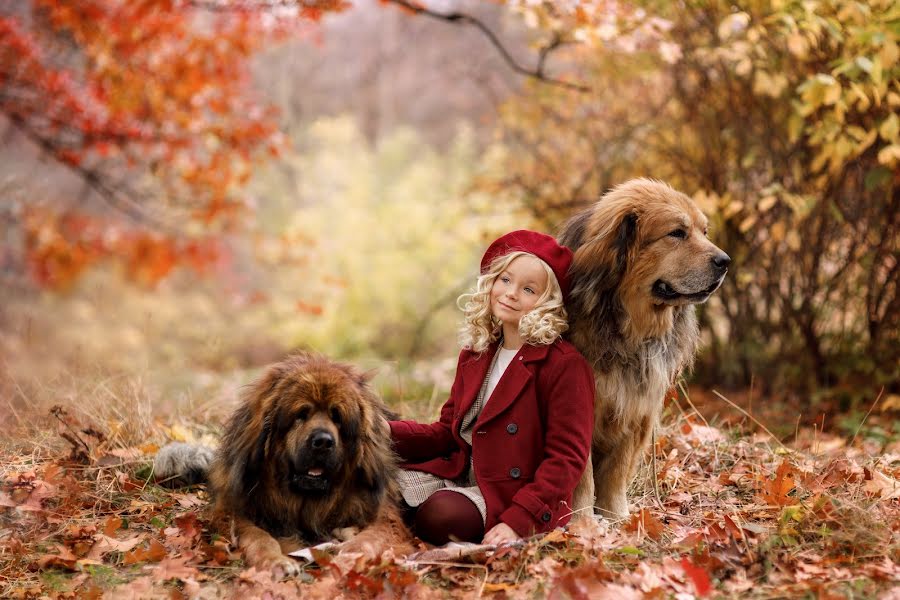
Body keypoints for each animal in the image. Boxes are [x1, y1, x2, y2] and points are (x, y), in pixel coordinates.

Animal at [154, 352, 408, 576]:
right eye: (301, 415)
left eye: (337, 417)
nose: (323, 442)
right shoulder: (237, 512)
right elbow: (259, 538)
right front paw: (276, 561)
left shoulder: (385, 516)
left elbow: (371, 538)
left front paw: (349, 555)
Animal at [564, 177, 732, 516]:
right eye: (677, 233)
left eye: (704, 232)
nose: (726, 261)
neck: (629, 328)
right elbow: (583, 478)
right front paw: (581, 521)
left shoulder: (635, 410)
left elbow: (615, 474)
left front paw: (618, 519)